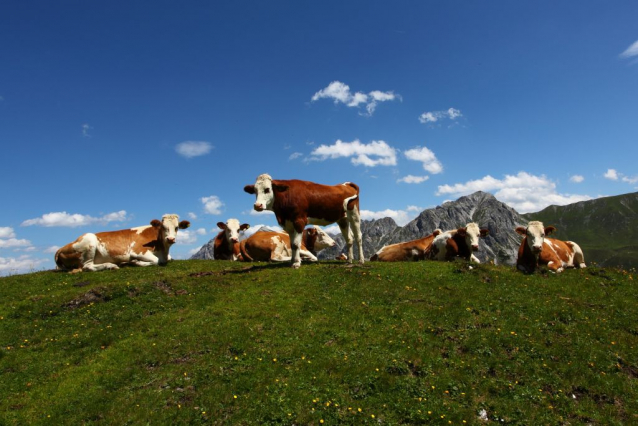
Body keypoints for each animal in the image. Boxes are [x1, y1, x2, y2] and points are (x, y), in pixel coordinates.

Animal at [55, 213, 190, 272]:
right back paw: (111, 265)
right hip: (89, 240)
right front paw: (136, 262)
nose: (170, 239)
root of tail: (60, 249)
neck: (163, 249)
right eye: (163, 227)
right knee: (87, 266)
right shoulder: (137, 251)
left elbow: (168, 259)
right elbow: (156, 261)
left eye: (177, 227)